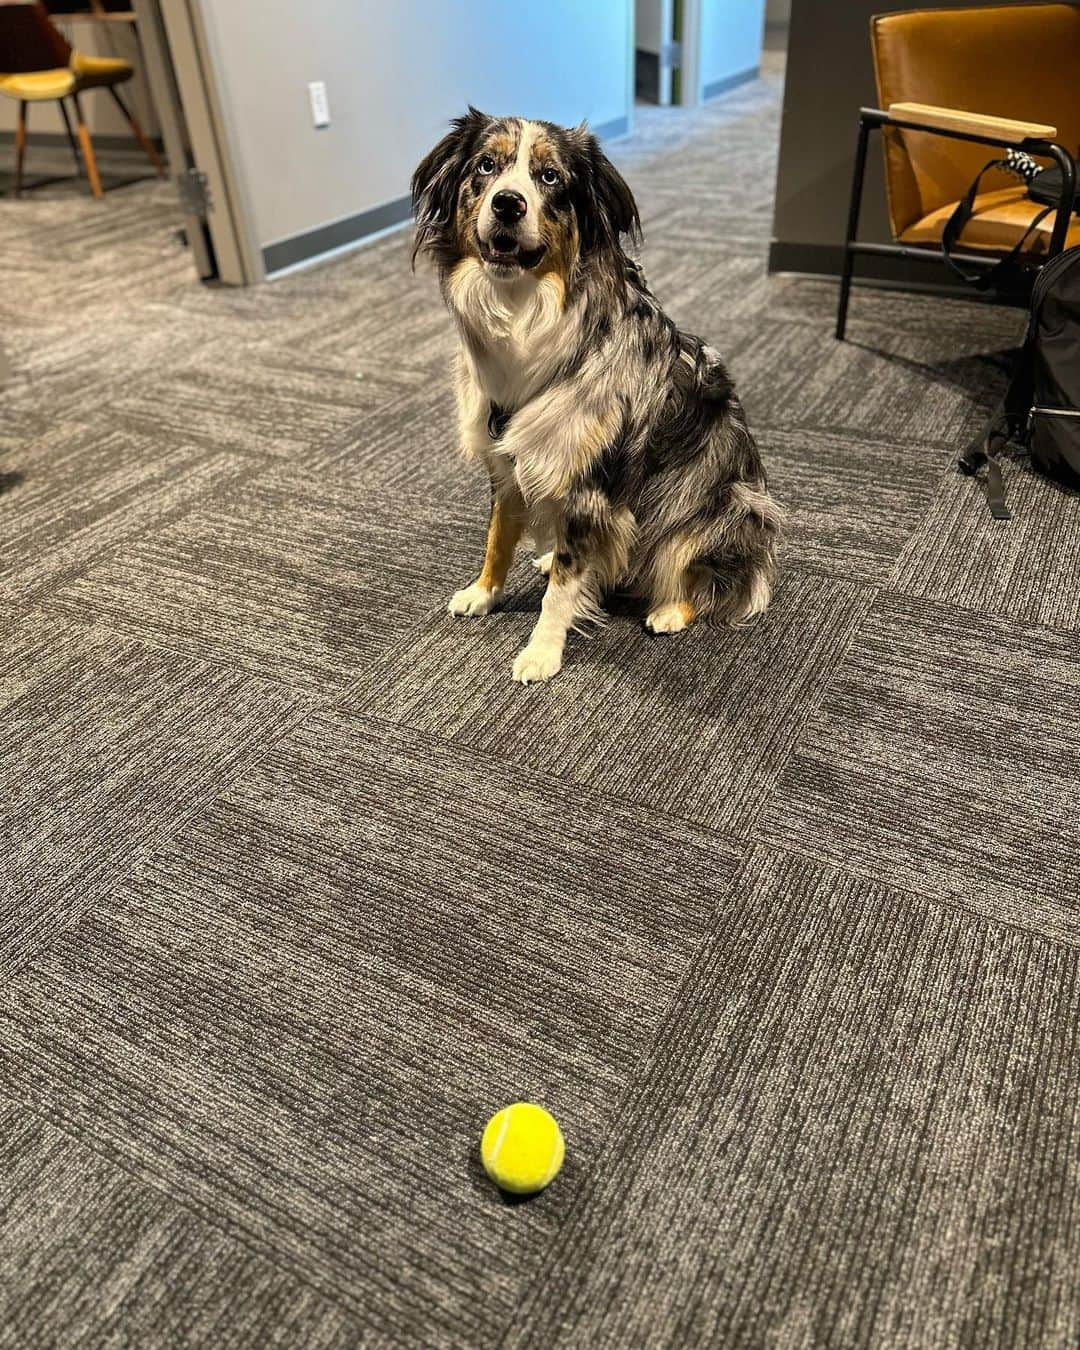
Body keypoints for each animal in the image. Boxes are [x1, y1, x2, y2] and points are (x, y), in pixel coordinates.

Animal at [410, 108, 777, 685]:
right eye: (486, 165)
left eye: (550, 177)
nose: (508, 203)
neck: (525, 315)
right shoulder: (505, 460)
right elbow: (498, 536)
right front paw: (483, 592)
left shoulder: (591, 488)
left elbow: (561, 591)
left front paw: (542, 651)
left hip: (724, 504)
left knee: (699, 574)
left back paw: (670, 610)